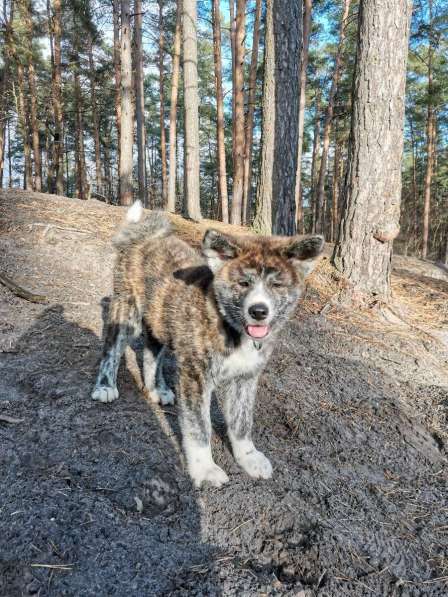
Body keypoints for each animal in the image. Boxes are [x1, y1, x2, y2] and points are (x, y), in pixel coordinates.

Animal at [92, 203, 322, 486]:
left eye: (277, 285)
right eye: (243, 283)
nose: (259, 311)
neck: (229, 325)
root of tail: (145, 237)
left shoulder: (246, 378)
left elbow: (242, 423)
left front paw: (248, 457)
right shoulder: (195, 376)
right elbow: (198, 427)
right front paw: (204, 468)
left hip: (161, 321)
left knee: (152, 352)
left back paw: (158, 389)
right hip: (127, 312)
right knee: (111, 349)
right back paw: (105, 386)